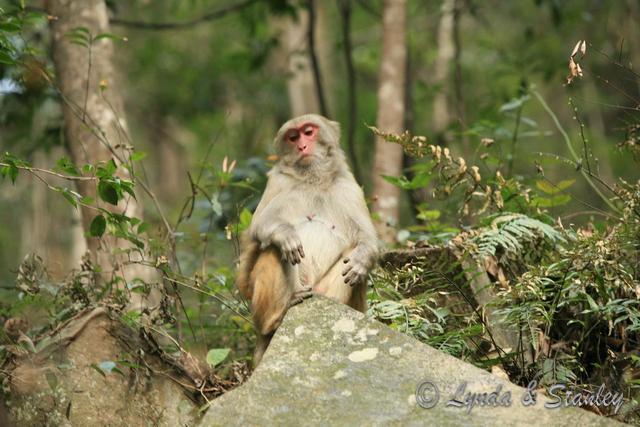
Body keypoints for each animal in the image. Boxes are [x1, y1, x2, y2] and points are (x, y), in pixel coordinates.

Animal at [239, 113, 380, 364]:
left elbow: (367, 239)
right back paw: (275, 318)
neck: (314, 181)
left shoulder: (348, 186)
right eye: (293, 137)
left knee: (351, 262)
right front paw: (285, 235)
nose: (302, 147)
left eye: (308, 132)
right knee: (274, 249)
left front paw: (362, 259)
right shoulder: (278, 183)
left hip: (320, 289)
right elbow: (259, 227)